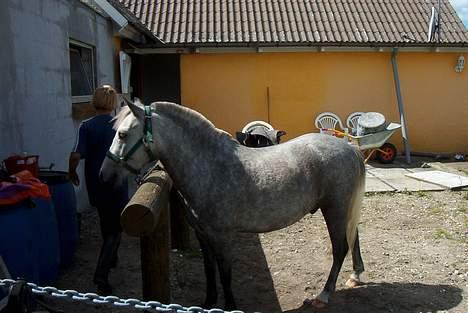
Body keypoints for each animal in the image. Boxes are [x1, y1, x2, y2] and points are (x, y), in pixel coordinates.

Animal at [100, 98, 368, 308]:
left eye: (122, 134)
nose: (104, 175)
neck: (210, 165)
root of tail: (348, 148)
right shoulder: (202, 234)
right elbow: (209, 269)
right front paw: (209, 302)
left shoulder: (221, 236)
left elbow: (225, 271)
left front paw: (229, 305)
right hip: (343, 209)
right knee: (353, 239)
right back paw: (355, 276)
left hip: (334, 209)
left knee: (340, 248)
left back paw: (323, 295)